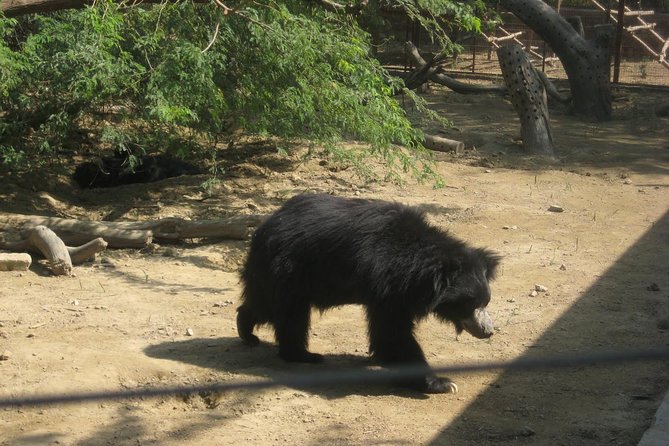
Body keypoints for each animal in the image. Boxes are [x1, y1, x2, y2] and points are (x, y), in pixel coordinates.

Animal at [237, 193, 499, 393]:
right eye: (470, 304)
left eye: (485, 302)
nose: (488, 331)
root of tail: (264, 227)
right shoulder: (388, 286)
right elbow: (393, 333)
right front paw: (442, 383)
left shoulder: (393, 291)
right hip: (289, 269)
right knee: (289, 314)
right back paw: (301, 353)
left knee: (268, 307)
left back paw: (248, 331)